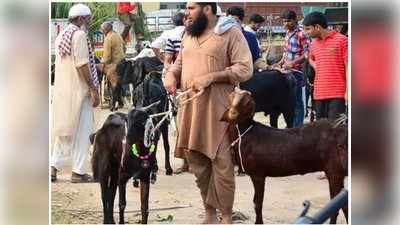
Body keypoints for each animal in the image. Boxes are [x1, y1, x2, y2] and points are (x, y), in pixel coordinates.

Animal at [220, 87, 348, 223]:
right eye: (231, 96)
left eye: (246, 102)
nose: (232, 113)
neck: (245, 133)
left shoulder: (258, 174)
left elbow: (257, 203)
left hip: (334, 171)